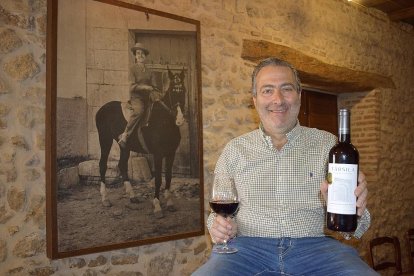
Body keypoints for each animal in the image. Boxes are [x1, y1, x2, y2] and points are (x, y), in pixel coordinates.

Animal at [95, 68, 186, 218]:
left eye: (183, 90)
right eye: (172, 91)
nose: (180, 119)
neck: (164, 121)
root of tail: (102, 108)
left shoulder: (170, 153)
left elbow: (168, 177)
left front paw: (170, 203)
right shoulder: (158, 155)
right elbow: (158, 179)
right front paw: (157, 206)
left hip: (124, 146)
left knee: (122, 165)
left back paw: (132, 196)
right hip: (105, 139)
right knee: (102, 165)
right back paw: (105, 199)